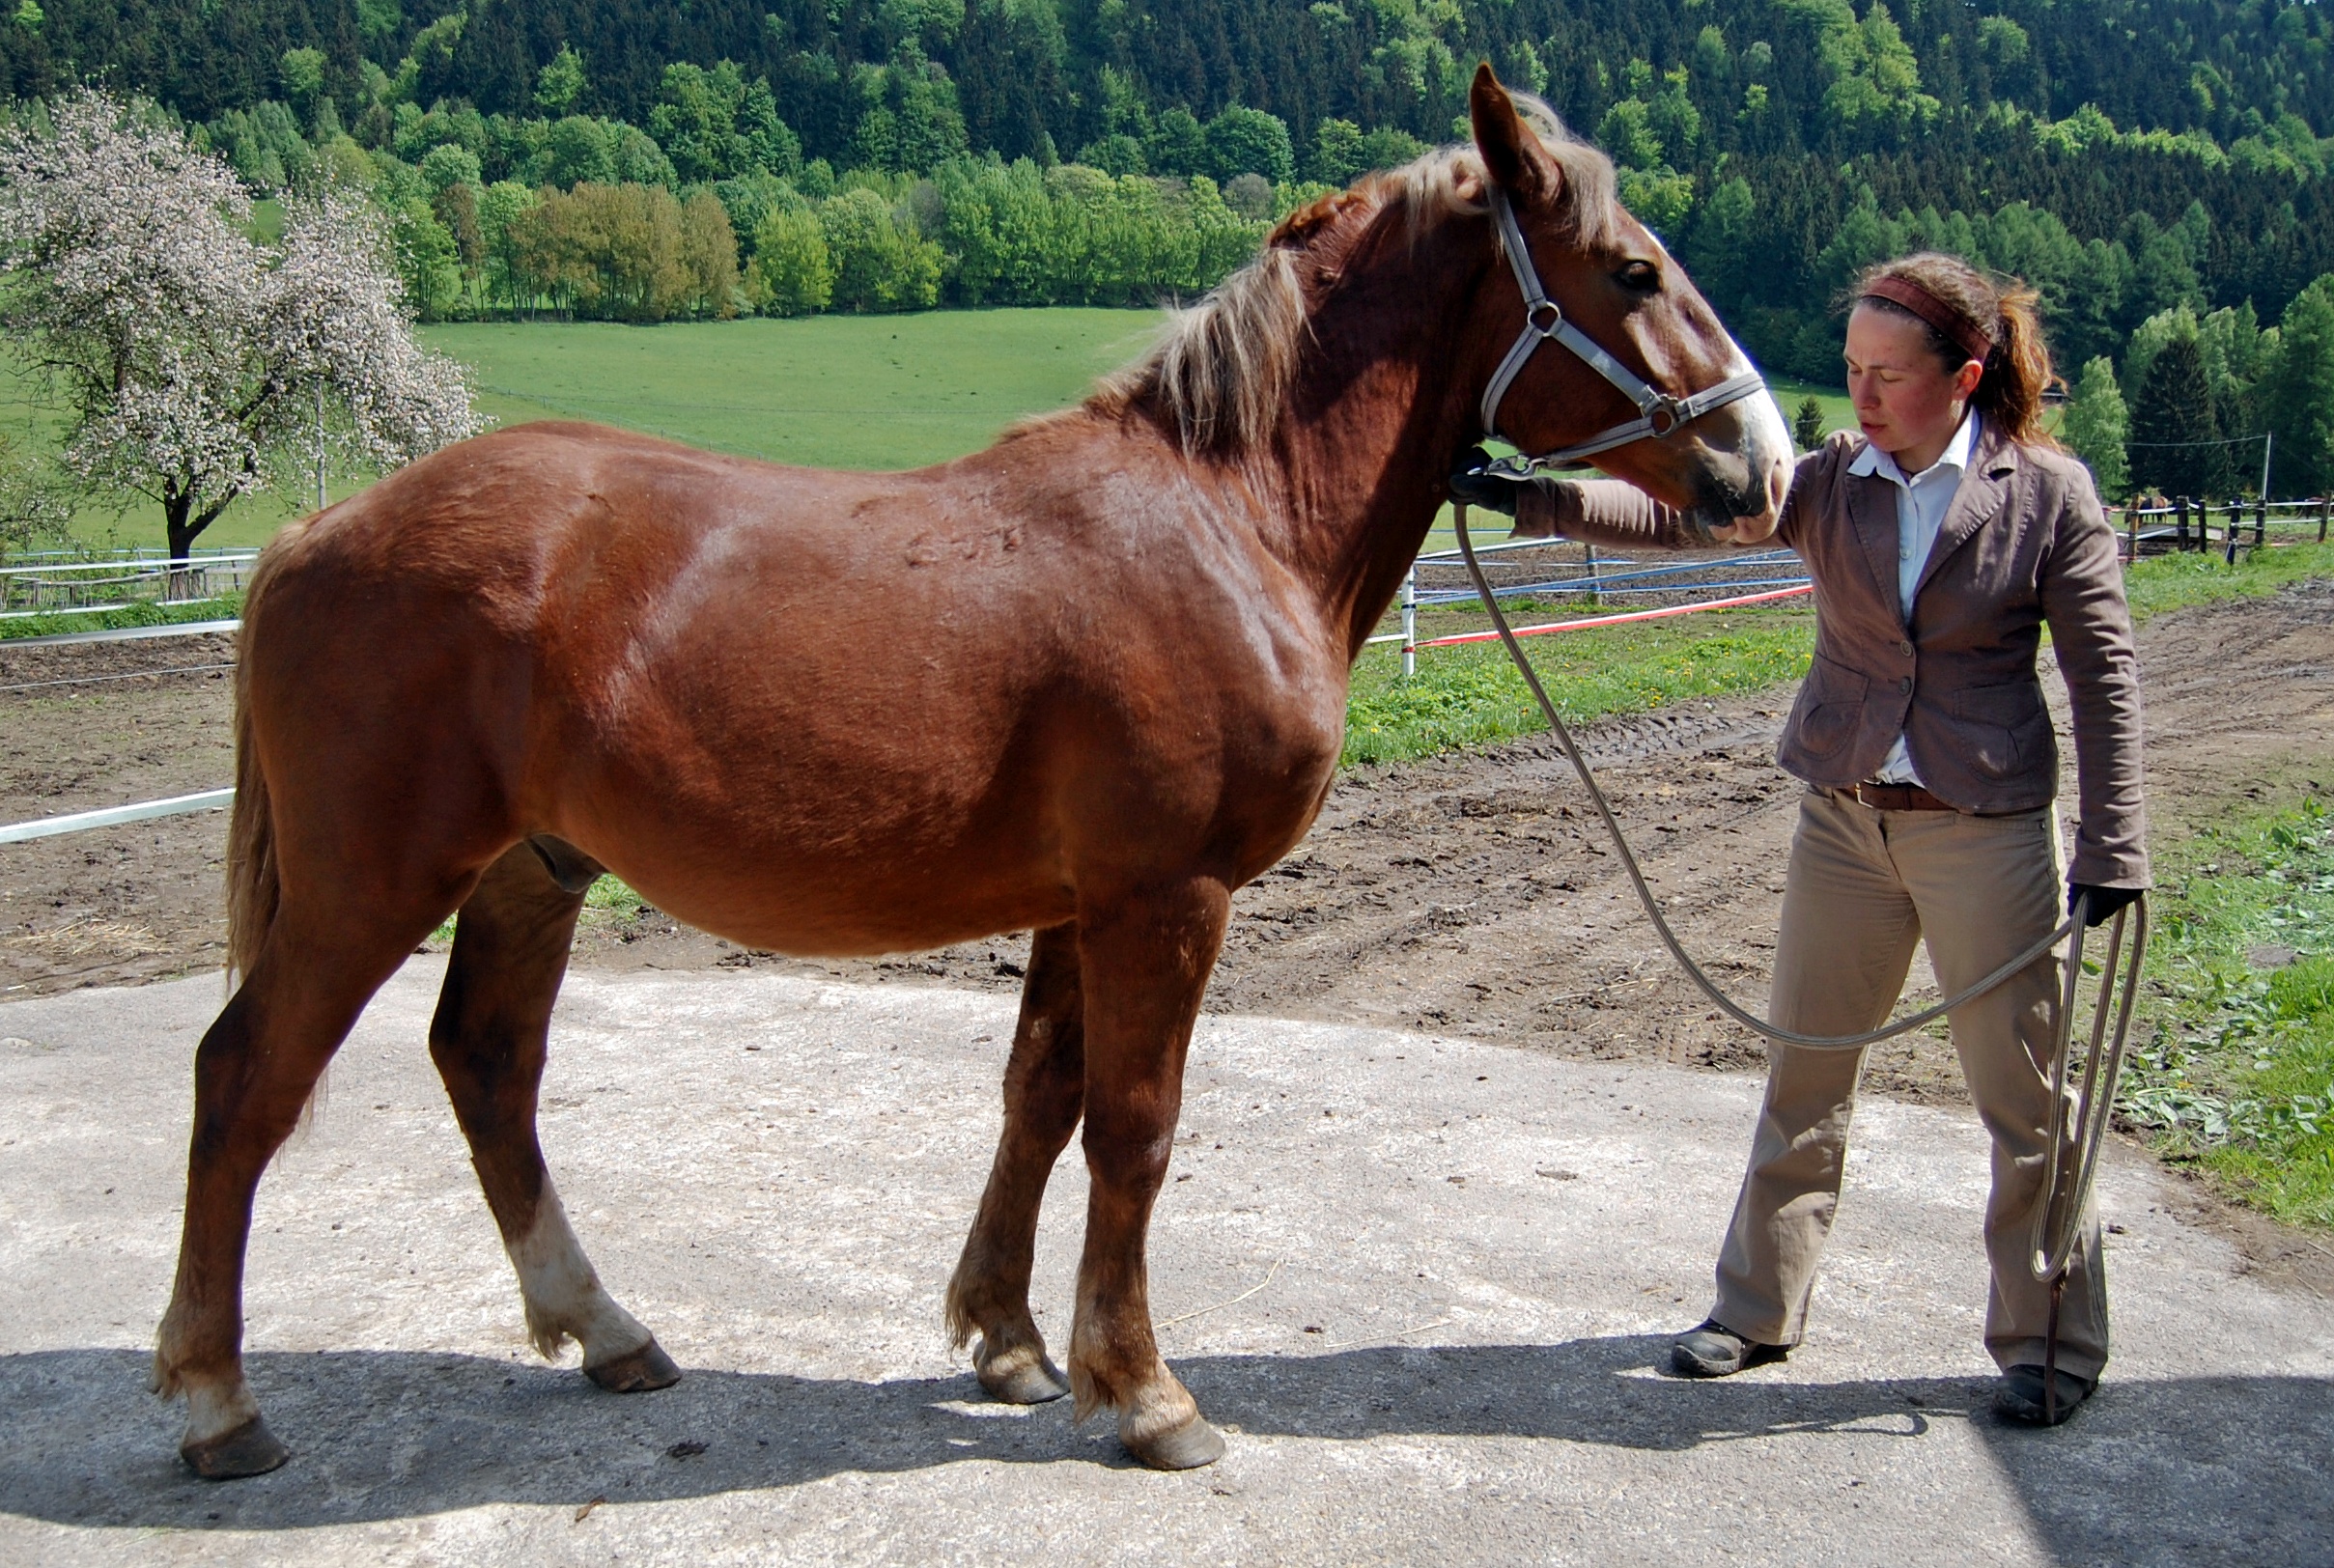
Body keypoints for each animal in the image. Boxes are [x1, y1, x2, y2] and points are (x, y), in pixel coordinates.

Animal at [155, 67, 1792, 1474]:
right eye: (1633, 274)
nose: (1765, 466)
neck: (1226, 517)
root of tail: (321, 530)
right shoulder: (1166, 896)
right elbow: (1134, 1127)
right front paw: (1145, 1394)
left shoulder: (1082, 901)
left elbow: (1040, 1100)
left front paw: (1010, 1344)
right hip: (373, 885)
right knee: (244, 1077)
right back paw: (219, 1403)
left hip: (527, 875)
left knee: (488, 1068)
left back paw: (607, 1332)